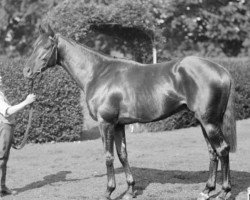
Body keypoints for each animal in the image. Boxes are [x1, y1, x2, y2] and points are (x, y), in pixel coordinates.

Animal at [23, 24, 236, 200]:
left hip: (209, 122)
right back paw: (207, 190)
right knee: (212, 152)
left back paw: (225, 192)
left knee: (223, 149)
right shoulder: (118, 125)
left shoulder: (106, 123)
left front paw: (109, 191)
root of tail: (222, 70)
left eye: (46, 47)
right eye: (34, 45)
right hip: (203, 122)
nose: (26, 72)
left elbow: (108, 156)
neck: (98, 73)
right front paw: (130, 190)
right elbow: (122, 154)